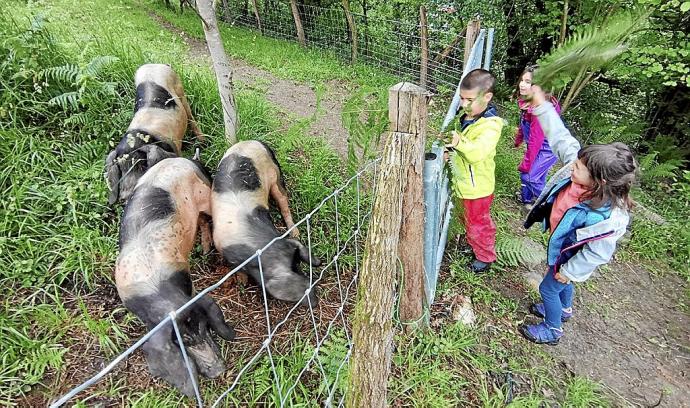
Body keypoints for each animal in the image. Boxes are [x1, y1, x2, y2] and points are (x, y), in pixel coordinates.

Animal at [103, 63, 203, 206]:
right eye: (120, 168)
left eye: (142, 164)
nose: (124, 197)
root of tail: (154, 64)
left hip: (180, 89)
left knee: (189, 115)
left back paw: (202, 141)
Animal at [111, 156, 232, 396]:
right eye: (183, 342)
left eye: (205, 327)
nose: (218, 371)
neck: (158, 293)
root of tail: (184, 159)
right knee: (202, 222)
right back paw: (205, 251)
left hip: (205, 193)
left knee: (208, 217)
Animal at [210, 140, 320, 306]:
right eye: (297, 268)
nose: (315, 302)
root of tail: (253, 141)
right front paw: (242, 281)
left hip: (276, 174)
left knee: (283, 202)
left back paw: (295, 233)